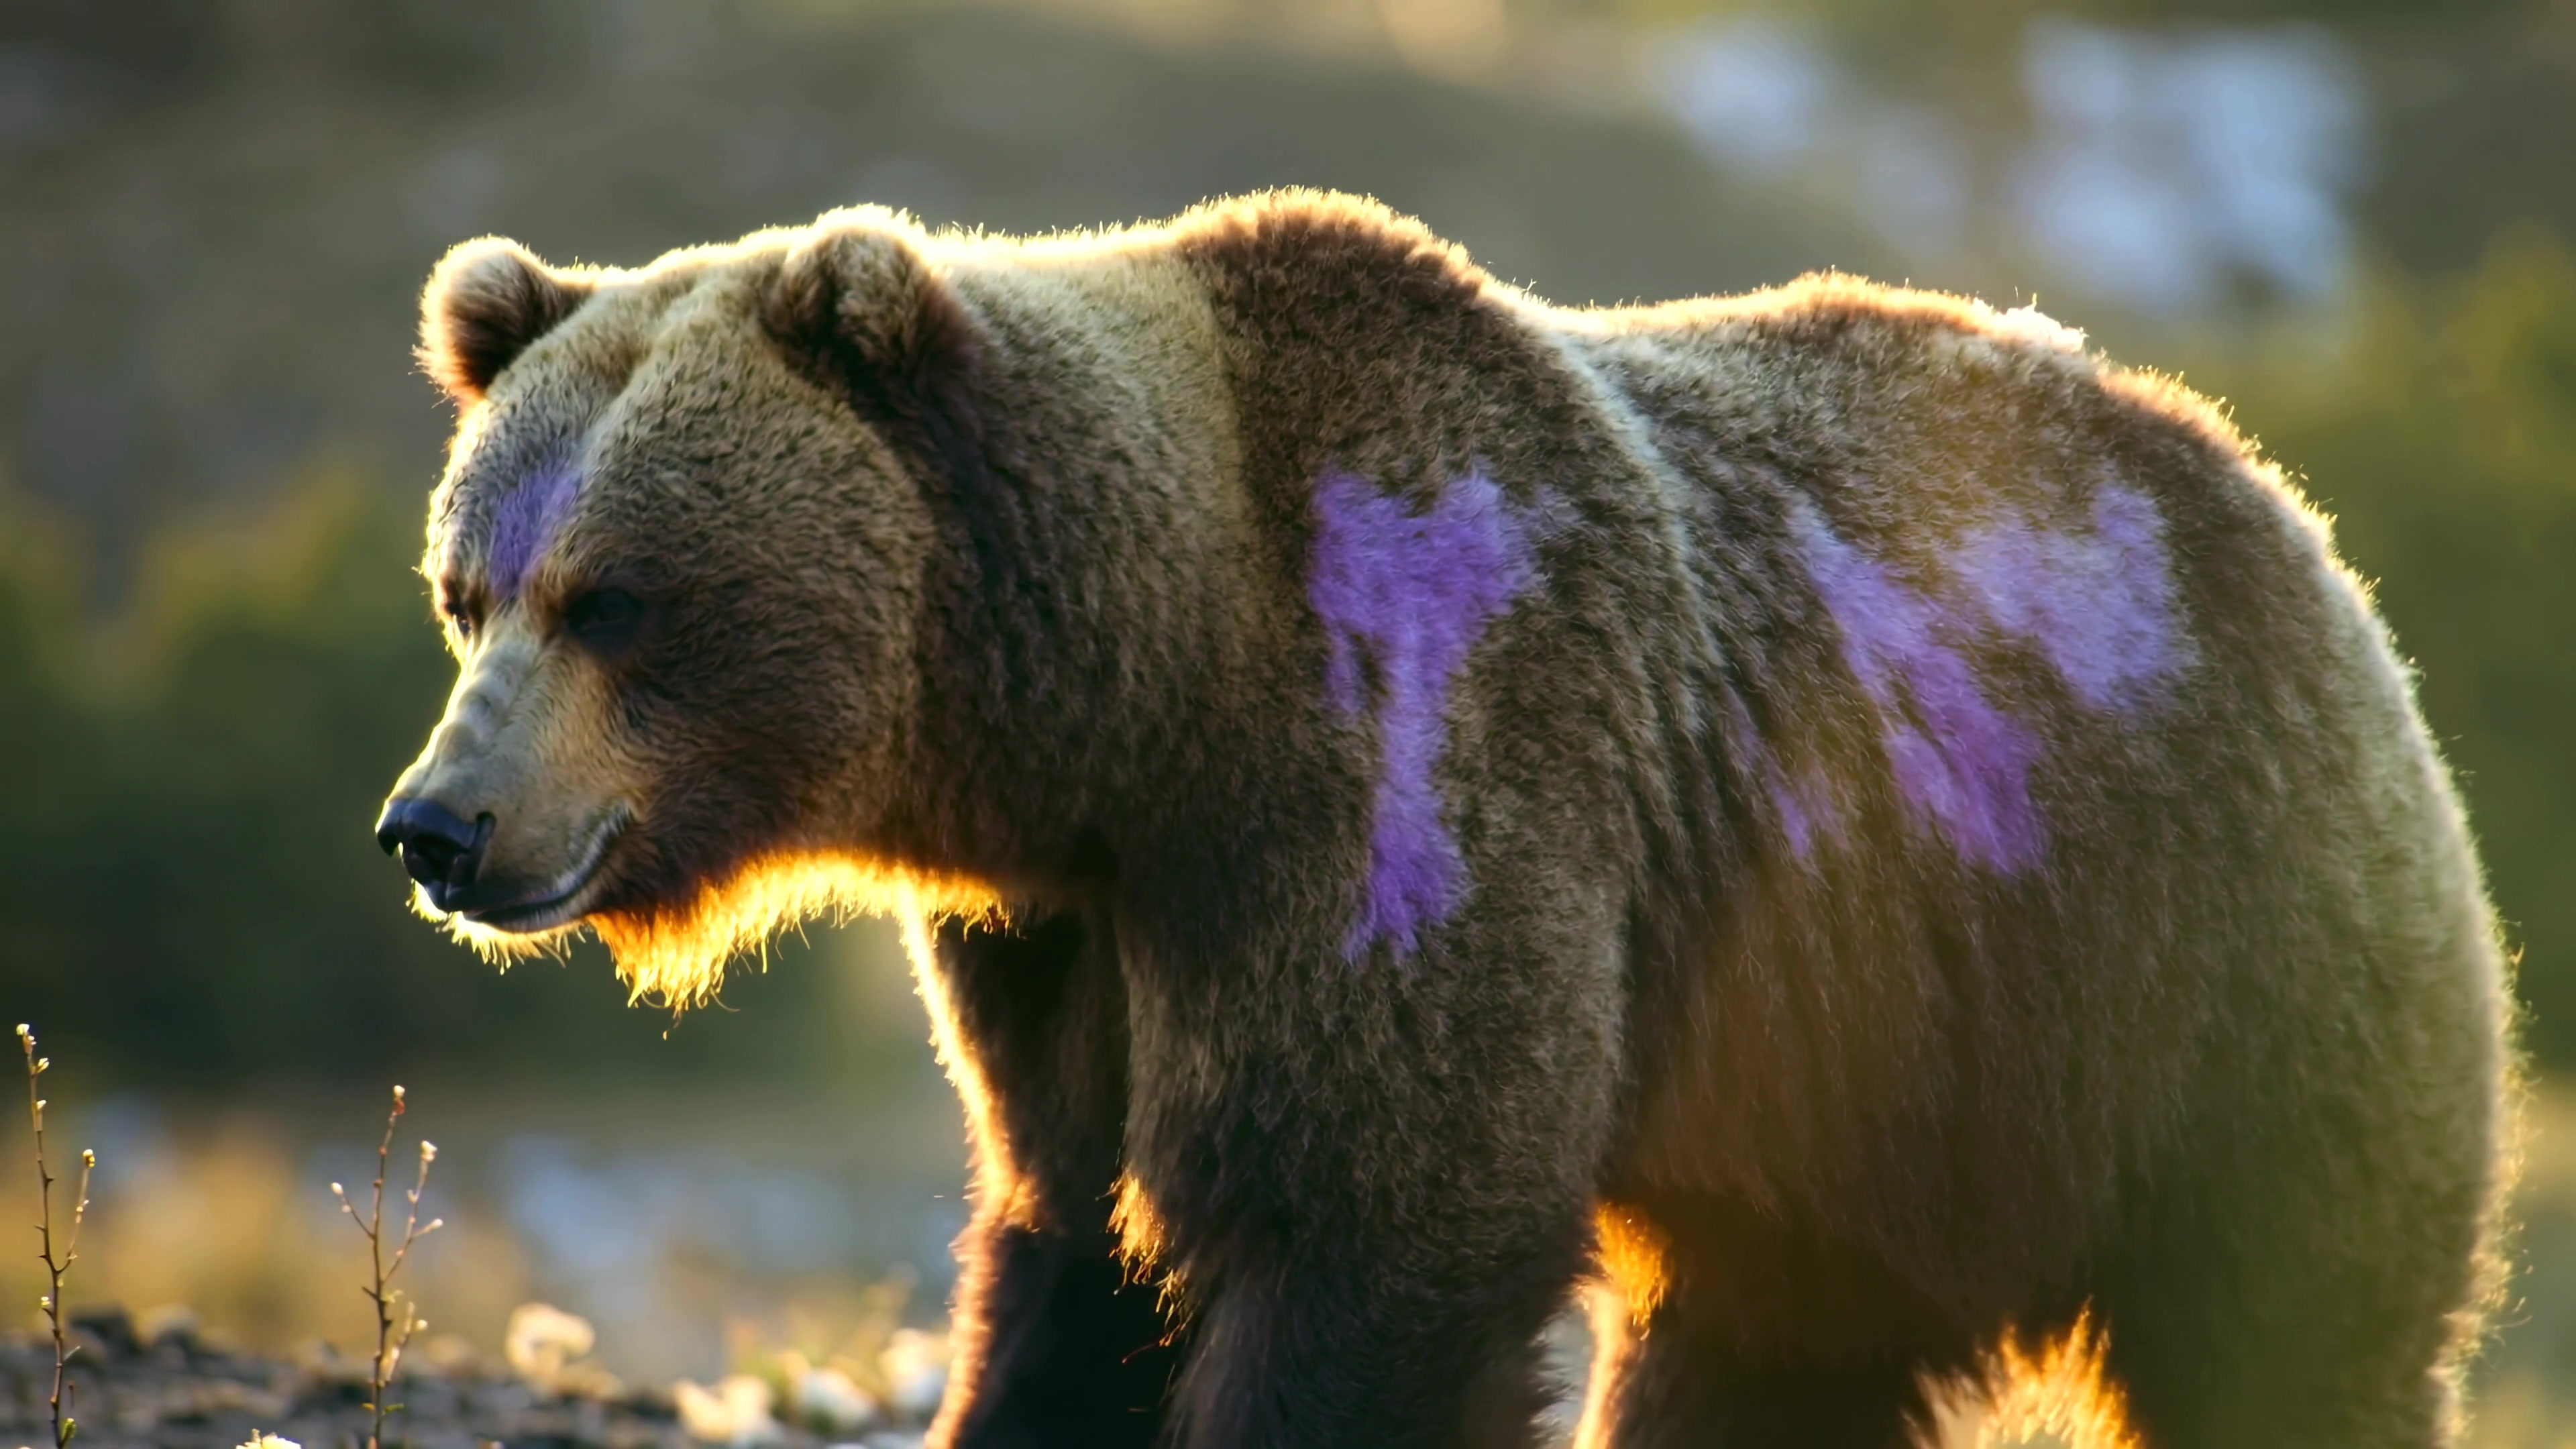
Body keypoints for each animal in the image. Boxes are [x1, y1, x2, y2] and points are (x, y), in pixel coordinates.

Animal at [375, 190, 2512, 1449]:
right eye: (471, 589)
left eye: (617, 597)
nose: (437, 824)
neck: (1142, 702)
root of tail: (2275, 500)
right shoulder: (1070, 938)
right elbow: (1076, 1237)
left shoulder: (1409, 766)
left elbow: (1378, 1220)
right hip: (1873, 1077)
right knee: (1775, 1339)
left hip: (2204, 946)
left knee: (2298, 1317)